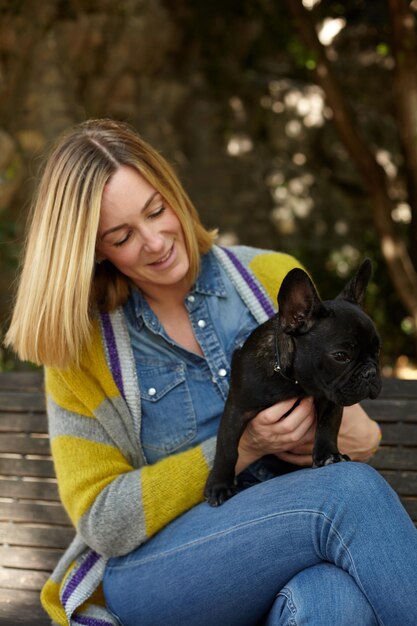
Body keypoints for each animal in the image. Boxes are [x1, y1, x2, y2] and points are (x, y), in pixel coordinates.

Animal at [204, 256, 380, 504]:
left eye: (377, 351)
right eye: (341, 356)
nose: (370, 373)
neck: (294, 383)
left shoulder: (330, 399)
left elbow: (327, 426)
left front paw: (328, 455)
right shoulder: (236, 409)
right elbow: (227, 447)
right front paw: (219, 484)